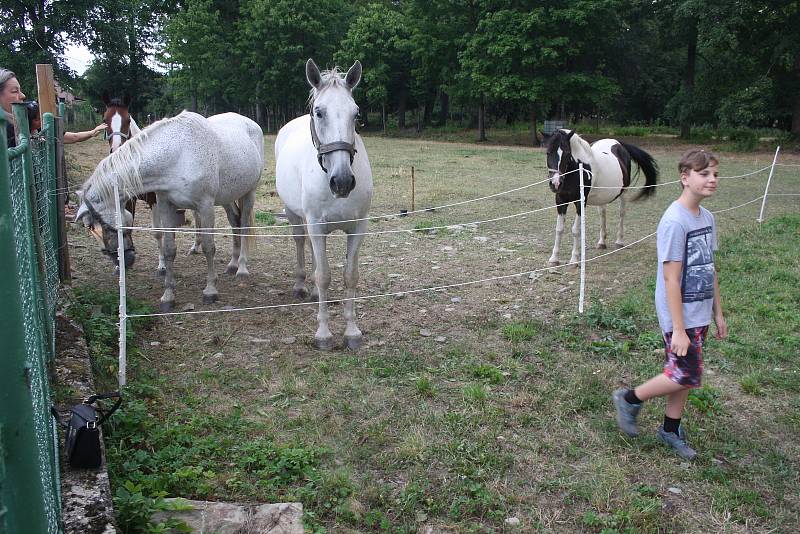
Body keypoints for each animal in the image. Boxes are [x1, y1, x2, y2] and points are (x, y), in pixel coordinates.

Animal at [76, 111, 262, 312]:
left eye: (99, 224)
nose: (125, 259)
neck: (178, 155)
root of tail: (251, 123)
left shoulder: (205, 206)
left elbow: (208, 247)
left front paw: (210, 290)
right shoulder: (165, 205)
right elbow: (169, 250)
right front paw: (168, 296)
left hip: (249, 193)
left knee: (243, 224)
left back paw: (241, 268)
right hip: (227, 197)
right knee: (234, 221)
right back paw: (233, 264)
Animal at [276, 59, 374, 352]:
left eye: (356, 113)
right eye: (319, 113)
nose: (342, 182)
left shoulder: (358, 227)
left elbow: (350, 275)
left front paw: (352, 331)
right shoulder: (316, 225)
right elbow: (323, 277)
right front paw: (323, 334)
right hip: (295, 215)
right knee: (300, 241)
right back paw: (300, 286)